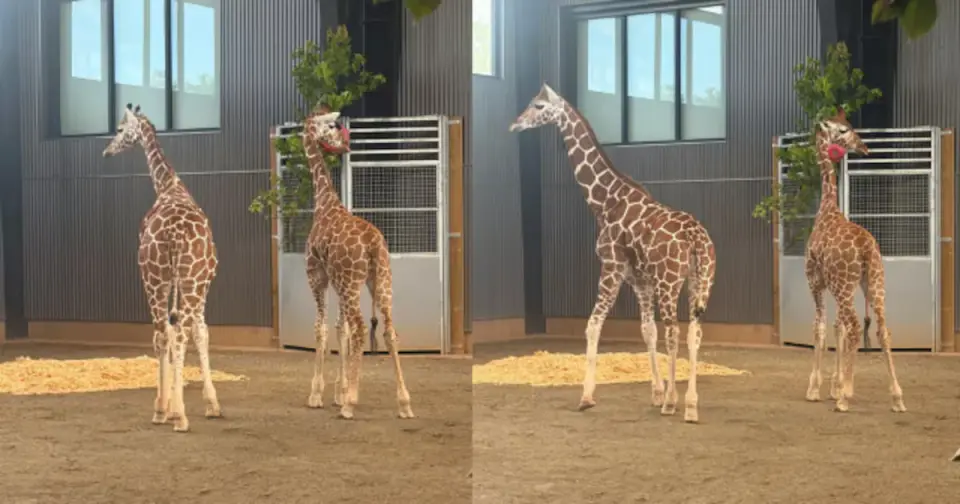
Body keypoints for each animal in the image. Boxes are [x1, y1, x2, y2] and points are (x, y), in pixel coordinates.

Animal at [102, 103, 222, 433]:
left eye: (120, 128)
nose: (106, 151)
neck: (169, 186)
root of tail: (175, 235)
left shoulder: (177, 281)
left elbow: (178, 332)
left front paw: (175, 405)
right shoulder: (196, 282)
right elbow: (199, 331)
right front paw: (210, 403)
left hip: (156, 277)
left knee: (163, 332)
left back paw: (168, 412)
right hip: (185, 279)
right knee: (179, 332)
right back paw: (180, 412)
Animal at [299, 105, 414, 420]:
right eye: (331, 125)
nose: (344, 144)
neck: (325, 203)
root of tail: (373, 244)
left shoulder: (317, 276)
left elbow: (322, 328)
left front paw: (319, 394)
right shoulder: (337, 282)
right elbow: (342, 329)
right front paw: (338, 391)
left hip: (353, 284)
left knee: (363, 328)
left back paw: (351, 403)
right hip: (380, 281)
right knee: (389, 331)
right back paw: (404, 403)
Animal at [510, 83, 716, 423]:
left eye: (538, 106)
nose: (515, 124)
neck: (605, 201)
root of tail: (696, 238)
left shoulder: (611, 267)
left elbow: (593, 325)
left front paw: (586, 397)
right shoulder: (639, 280)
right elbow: (647, 331)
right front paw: (655, 392)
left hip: (670, 282)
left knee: (675, 331)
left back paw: (673, 403)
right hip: (701, 281)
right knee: (693, 333)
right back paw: (690, 405)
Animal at [802, 108, 906, 414]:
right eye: (844, 129)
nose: (864, 146)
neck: (827, 209)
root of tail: (867, 248)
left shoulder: (815, 282)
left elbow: (821, 328)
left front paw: (817, 388)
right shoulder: (834, 286)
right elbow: (837, 327)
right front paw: (834, 385)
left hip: (845, 285)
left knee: (857, 326)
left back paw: (845, 398)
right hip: (873, 283)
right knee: (883, 329)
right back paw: (897, 397)